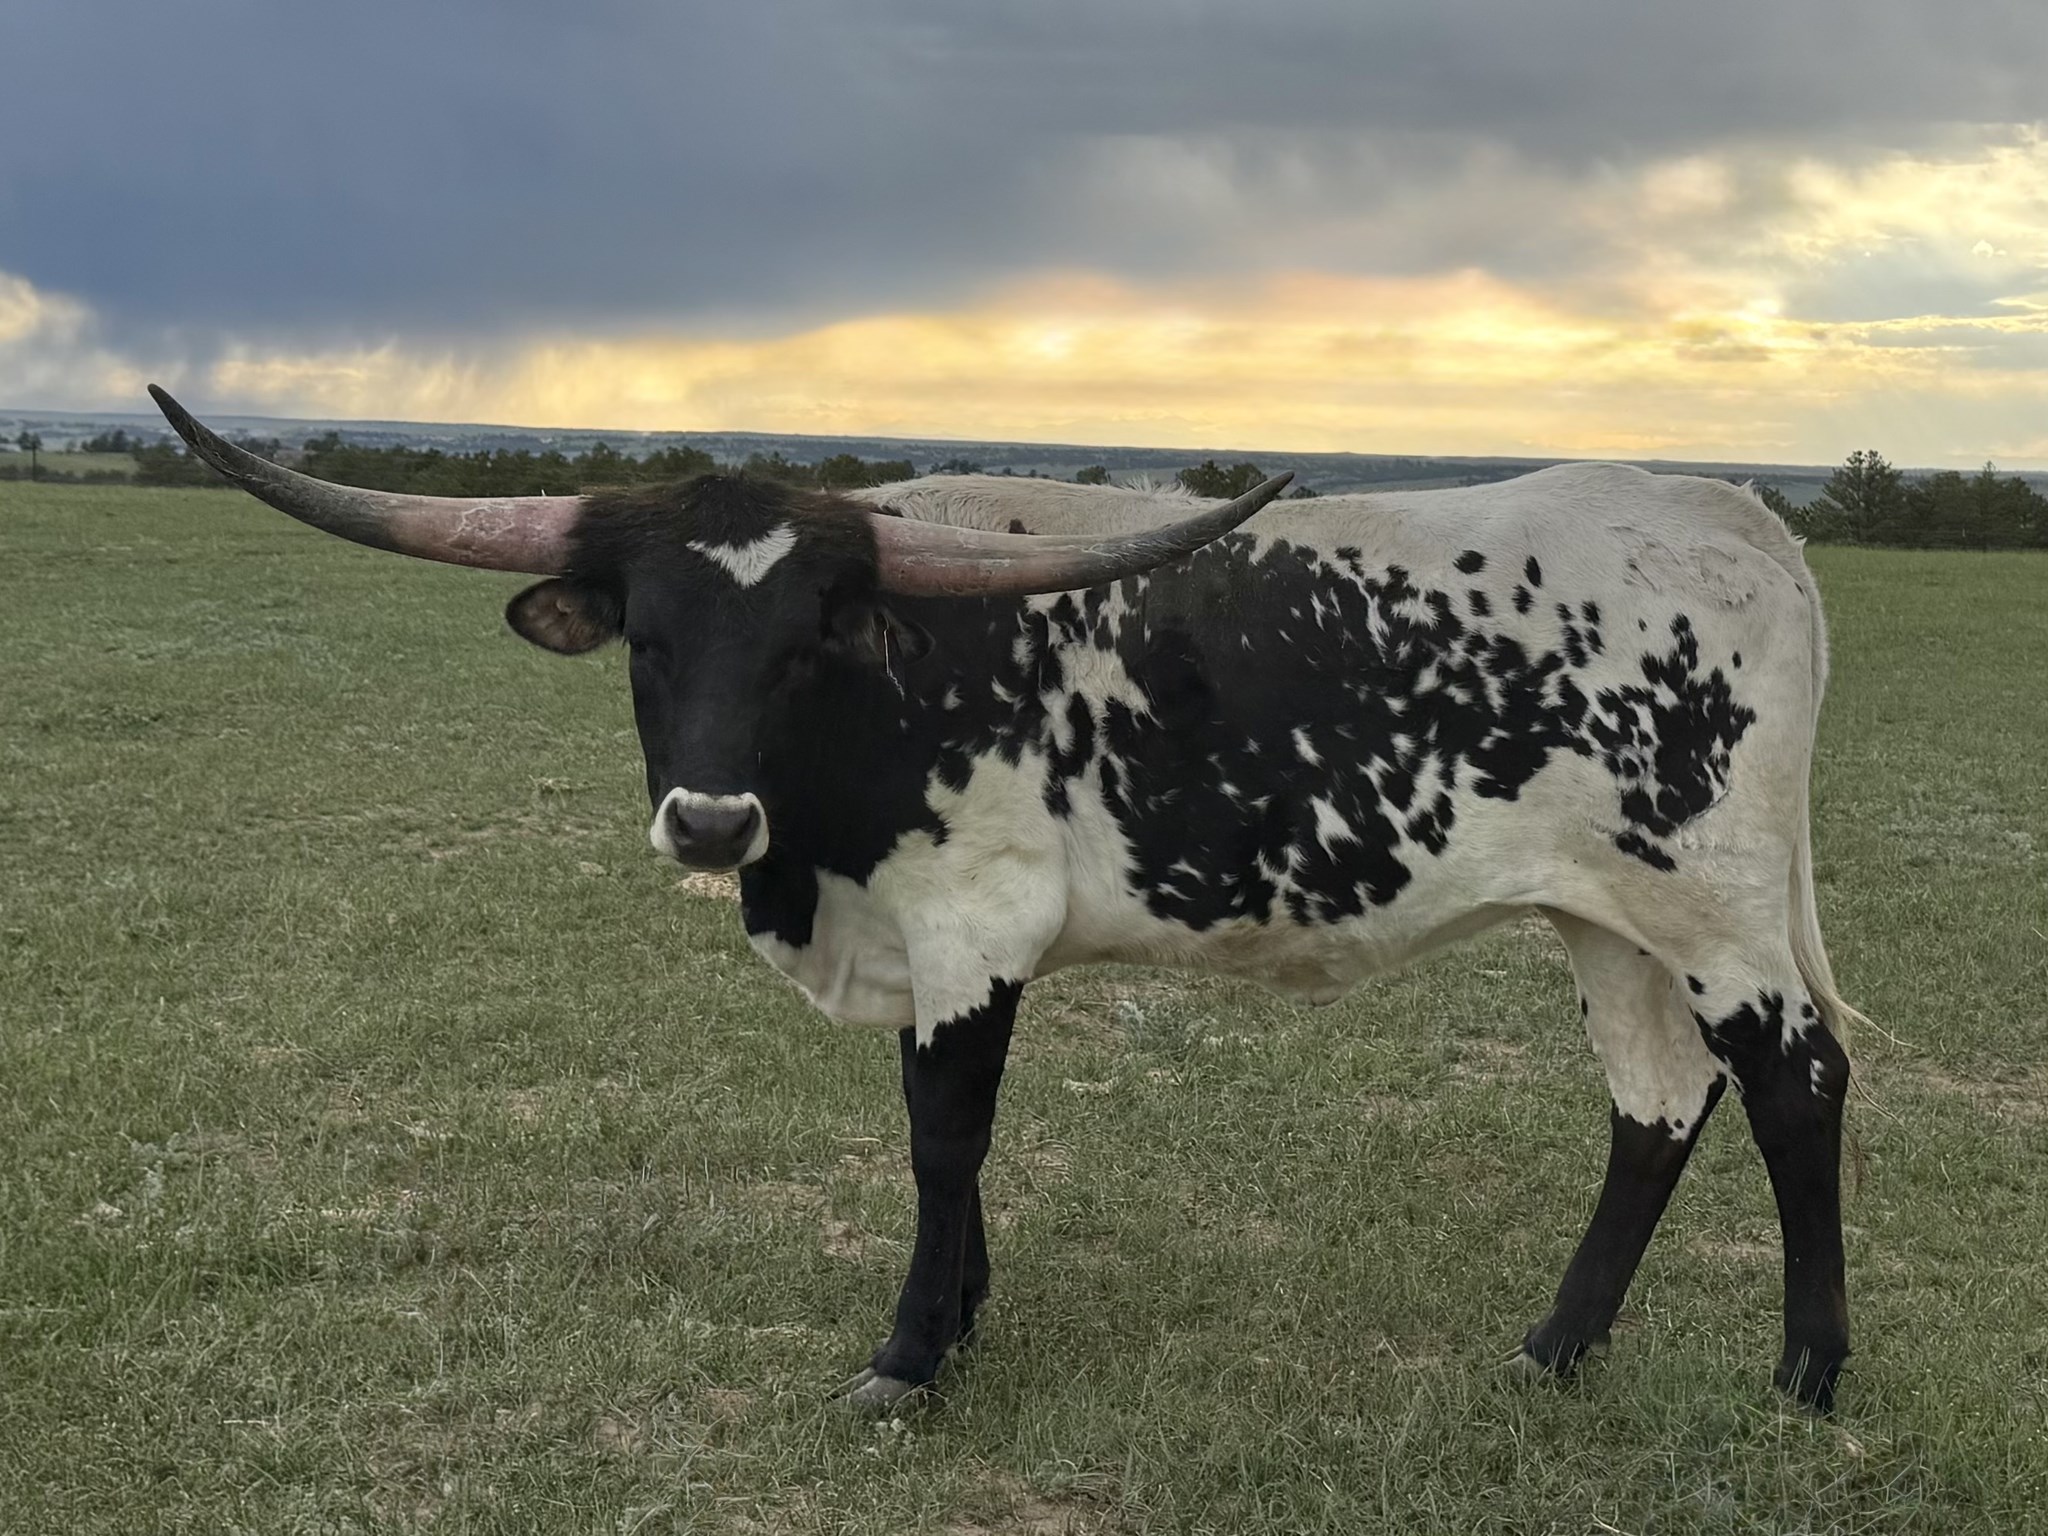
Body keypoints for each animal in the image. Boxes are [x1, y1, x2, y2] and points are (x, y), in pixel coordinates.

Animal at [149, 385, 1862, 1413]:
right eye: (647, 636)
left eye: (809, 641)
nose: (709, 818)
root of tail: (1737, 518)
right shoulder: (914, 943)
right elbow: (933, 1128)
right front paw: (962, 1317)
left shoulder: (973, 927)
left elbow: (941, 1132)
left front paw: (910, 1355)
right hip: (1612, 919)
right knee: (1656, 1105)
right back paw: (1554, 1353)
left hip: (1718, 913)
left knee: (1797, 1084)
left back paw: (1805, 1375)